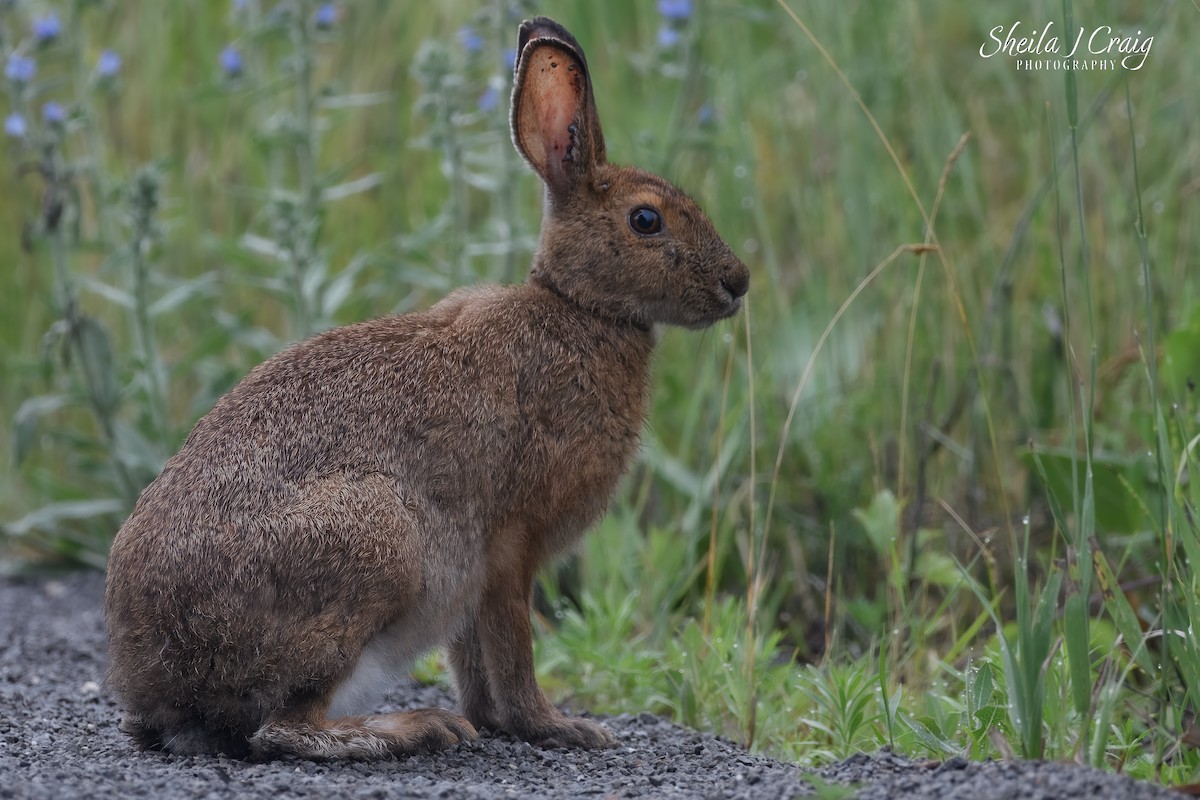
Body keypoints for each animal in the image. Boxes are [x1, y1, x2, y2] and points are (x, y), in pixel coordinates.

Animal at [104, 16, 749, 761]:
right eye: (647, 220)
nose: (739, 282)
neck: (578, 308)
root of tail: (153, 680)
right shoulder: (509, 547)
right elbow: (514, 649)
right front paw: (559, 727)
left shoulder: (474, 575)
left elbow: (475, 659)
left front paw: (499, 722)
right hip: (379, 543)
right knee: (286, 726)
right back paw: (413, 728)